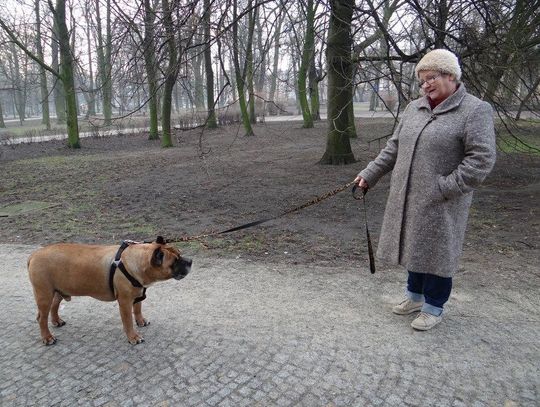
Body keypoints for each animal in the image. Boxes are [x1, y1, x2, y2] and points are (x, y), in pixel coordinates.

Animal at [27, 237, 193, 346]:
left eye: (180, 253)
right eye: (175, 261)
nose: (190, 261)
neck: (134, 261)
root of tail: (33, 255)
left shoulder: (137, 294)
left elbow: (137, 309)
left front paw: (141, 321)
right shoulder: (125, 302)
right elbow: (128, 321)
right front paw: (133, 337)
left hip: (58, 290)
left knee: (54, 306)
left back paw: (56, 321)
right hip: (44, 294)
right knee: (41, 318)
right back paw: (48, 337)